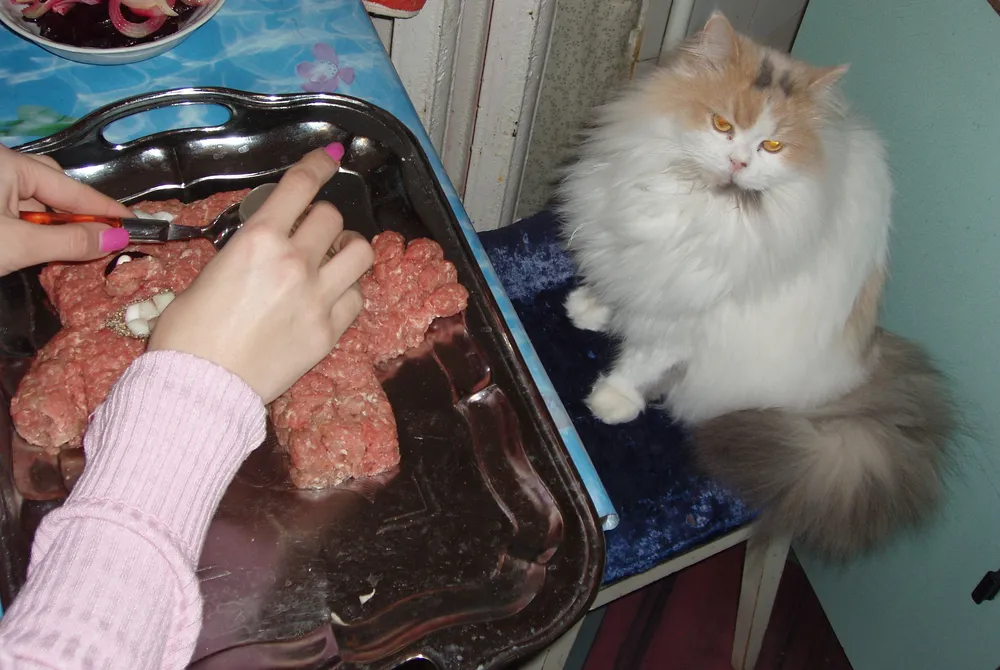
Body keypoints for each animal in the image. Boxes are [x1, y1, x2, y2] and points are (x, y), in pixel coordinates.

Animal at [556, 12, 955, 559]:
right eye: (723, 125)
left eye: (773, 146)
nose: (739, 163)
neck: (695, 198)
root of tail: (864, 368)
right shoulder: (634, 257)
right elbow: (618, 286)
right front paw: (592, 308)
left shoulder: (687, 312)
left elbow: (645, 357)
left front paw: (613, 399)